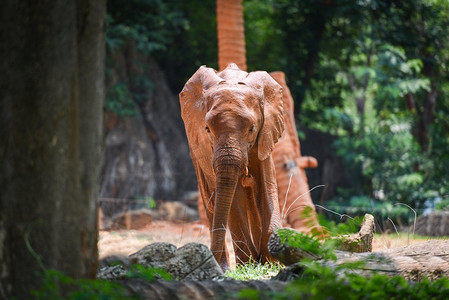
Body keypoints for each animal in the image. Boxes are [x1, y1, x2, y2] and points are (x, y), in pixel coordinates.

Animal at [178, 63, 284, 270]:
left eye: (252, 128)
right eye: (207, 129)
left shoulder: (266, 134)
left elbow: (267, 187)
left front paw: (272, 262)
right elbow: (233, 195)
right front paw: (249, 263)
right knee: (213, 199)